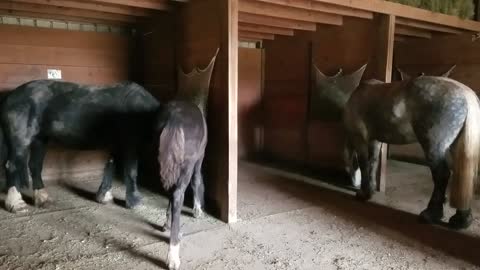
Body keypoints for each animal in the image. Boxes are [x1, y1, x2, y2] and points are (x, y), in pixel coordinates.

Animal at [0, 80, 160, 213]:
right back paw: (15, 203)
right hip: (21, 140)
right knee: (12, 165)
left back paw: (42, 198)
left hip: (40, 140)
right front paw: (134, 202)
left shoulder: (117, 145)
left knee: (35, 165)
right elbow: (131, 171)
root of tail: (9, 97)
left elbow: (111, 166)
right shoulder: (130, 146)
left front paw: (103, 196)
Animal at [155, 100, 205, 268]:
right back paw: (173, 257)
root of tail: (174, 117)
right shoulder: (198, 159)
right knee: (177, 195)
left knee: (170, 193)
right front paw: (197, 210)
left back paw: (168, 227)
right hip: (187, 166)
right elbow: (196, 181)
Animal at [344, 76, 480, 230]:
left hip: (433, 147)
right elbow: (372, 162)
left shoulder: (359, 138)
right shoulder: (375, 140)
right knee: (462, 175)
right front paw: (370, 191)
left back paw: (430, 214)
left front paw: (364, 193)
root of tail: (465, 94)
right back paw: (461, 220)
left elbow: (364, 164)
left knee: (442, 176)